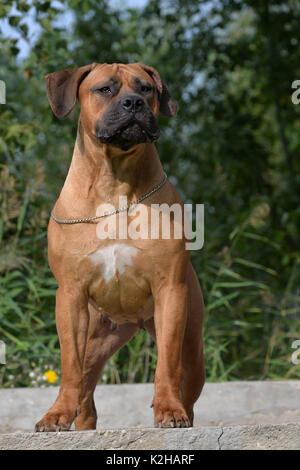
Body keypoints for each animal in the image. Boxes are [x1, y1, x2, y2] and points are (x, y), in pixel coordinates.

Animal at [34, 62, 204, 434]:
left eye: (146, 89)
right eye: (105, 89)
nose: (133, 103)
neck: (114, 185)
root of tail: (132, 321)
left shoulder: (170, 291)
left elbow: (166, 365)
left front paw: (168, 409)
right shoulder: (70, 296)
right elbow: (69, 367)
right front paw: (56, 414)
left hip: (191, 344)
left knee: (186, 381)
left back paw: (181, 412)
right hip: (96, 338)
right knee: (84, 387)